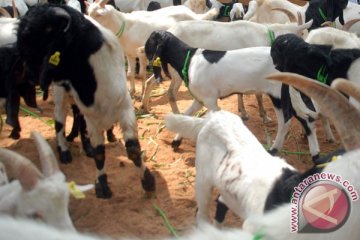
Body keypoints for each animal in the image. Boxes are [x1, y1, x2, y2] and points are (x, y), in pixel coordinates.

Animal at [16, 3, 155, 199]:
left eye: (40, 31)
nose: (26, 71)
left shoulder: (125, 109)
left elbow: (133, 149)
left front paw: (148, 181)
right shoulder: (93, 118)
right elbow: (99, 153)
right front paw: (102, 186)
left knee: (77, 117)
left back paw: (92, 141)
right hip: (61, 95)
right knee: (59, 122)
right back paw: (64, 150)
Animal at [86, 0, 219, 98]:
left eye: (98, 14)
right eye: (88, 13)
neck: (126, 25)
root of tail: (194, 15)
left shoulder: (142, 54)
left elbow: (141, 74)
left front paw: (142, 93)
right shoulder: (129, 54)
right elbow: (129, 74)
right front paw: (131, 92)